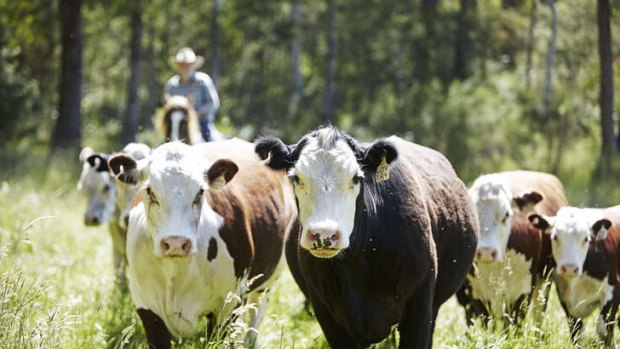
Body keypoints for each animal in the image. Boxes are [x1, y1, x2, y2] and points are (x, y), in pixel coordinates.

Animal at [528, 205, 620, 344]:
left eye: (586, 238)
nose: (570, 268)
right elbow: (577, 333)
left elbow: (603, 330)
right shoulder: (567, 301)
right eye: (555, 237)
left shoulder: (613, 289)